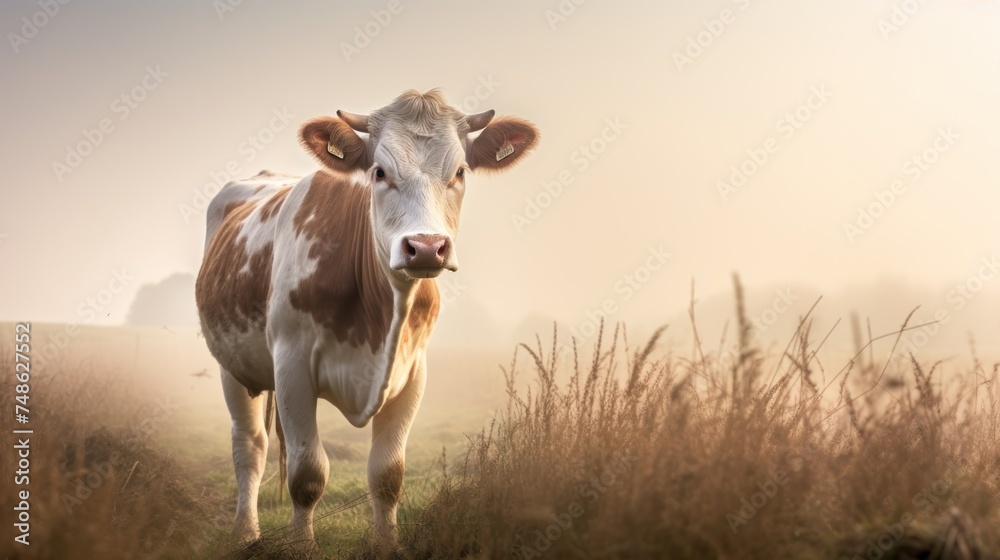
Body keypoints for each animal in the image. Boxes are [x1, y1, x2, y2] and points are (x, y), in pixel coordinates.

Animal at [195, 89, 540, 548]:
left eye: (460, 172)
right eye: (379, 171)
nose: (426, 247)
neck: (380, 318)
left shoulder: (413, 372)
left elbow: (388, 474)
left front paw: (388, 545)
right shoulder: (291, 365)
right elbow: (307, 474)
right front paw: (303, 548)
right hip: (231, 365)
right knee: (250, 446)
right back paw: (245, 533)